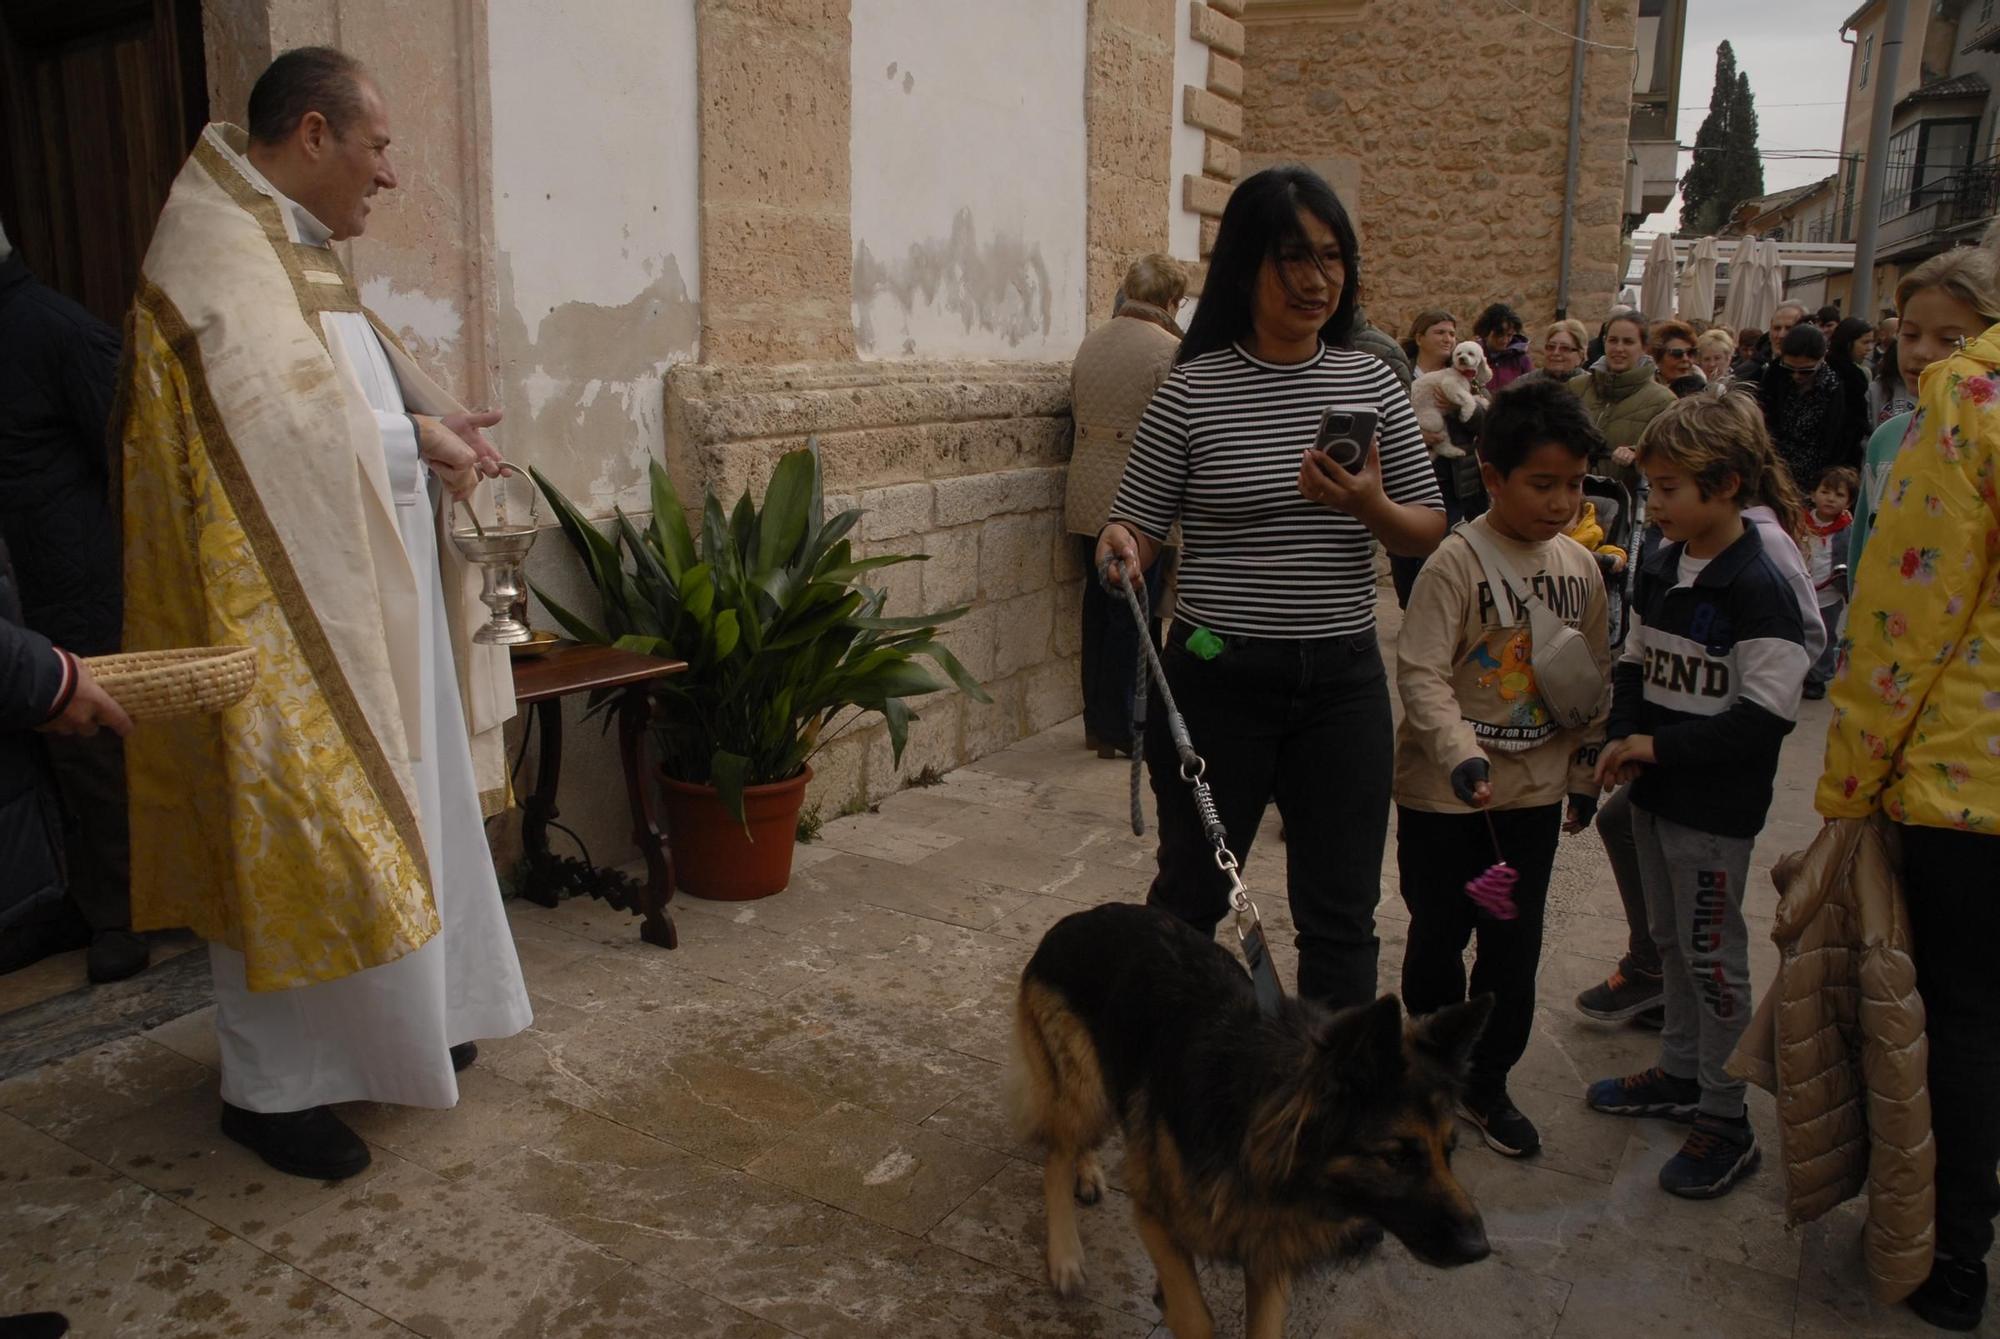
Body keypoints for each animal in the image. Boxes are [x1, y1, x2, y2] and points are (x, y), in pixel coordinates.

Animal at [1008, 903, 1496, 1339]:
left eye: (1449, 1150)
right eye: (1396, 1157)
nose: (1480, 1250)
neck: (1249, 1126)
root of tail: (1073, 922)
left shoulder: (1268, 1246)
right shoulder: (1157, 1216)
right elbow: (1195, 1319)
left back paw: (1087, 1171)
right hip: (1089, 1090)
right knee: (1056, 1154)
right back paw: (1065, 1255)